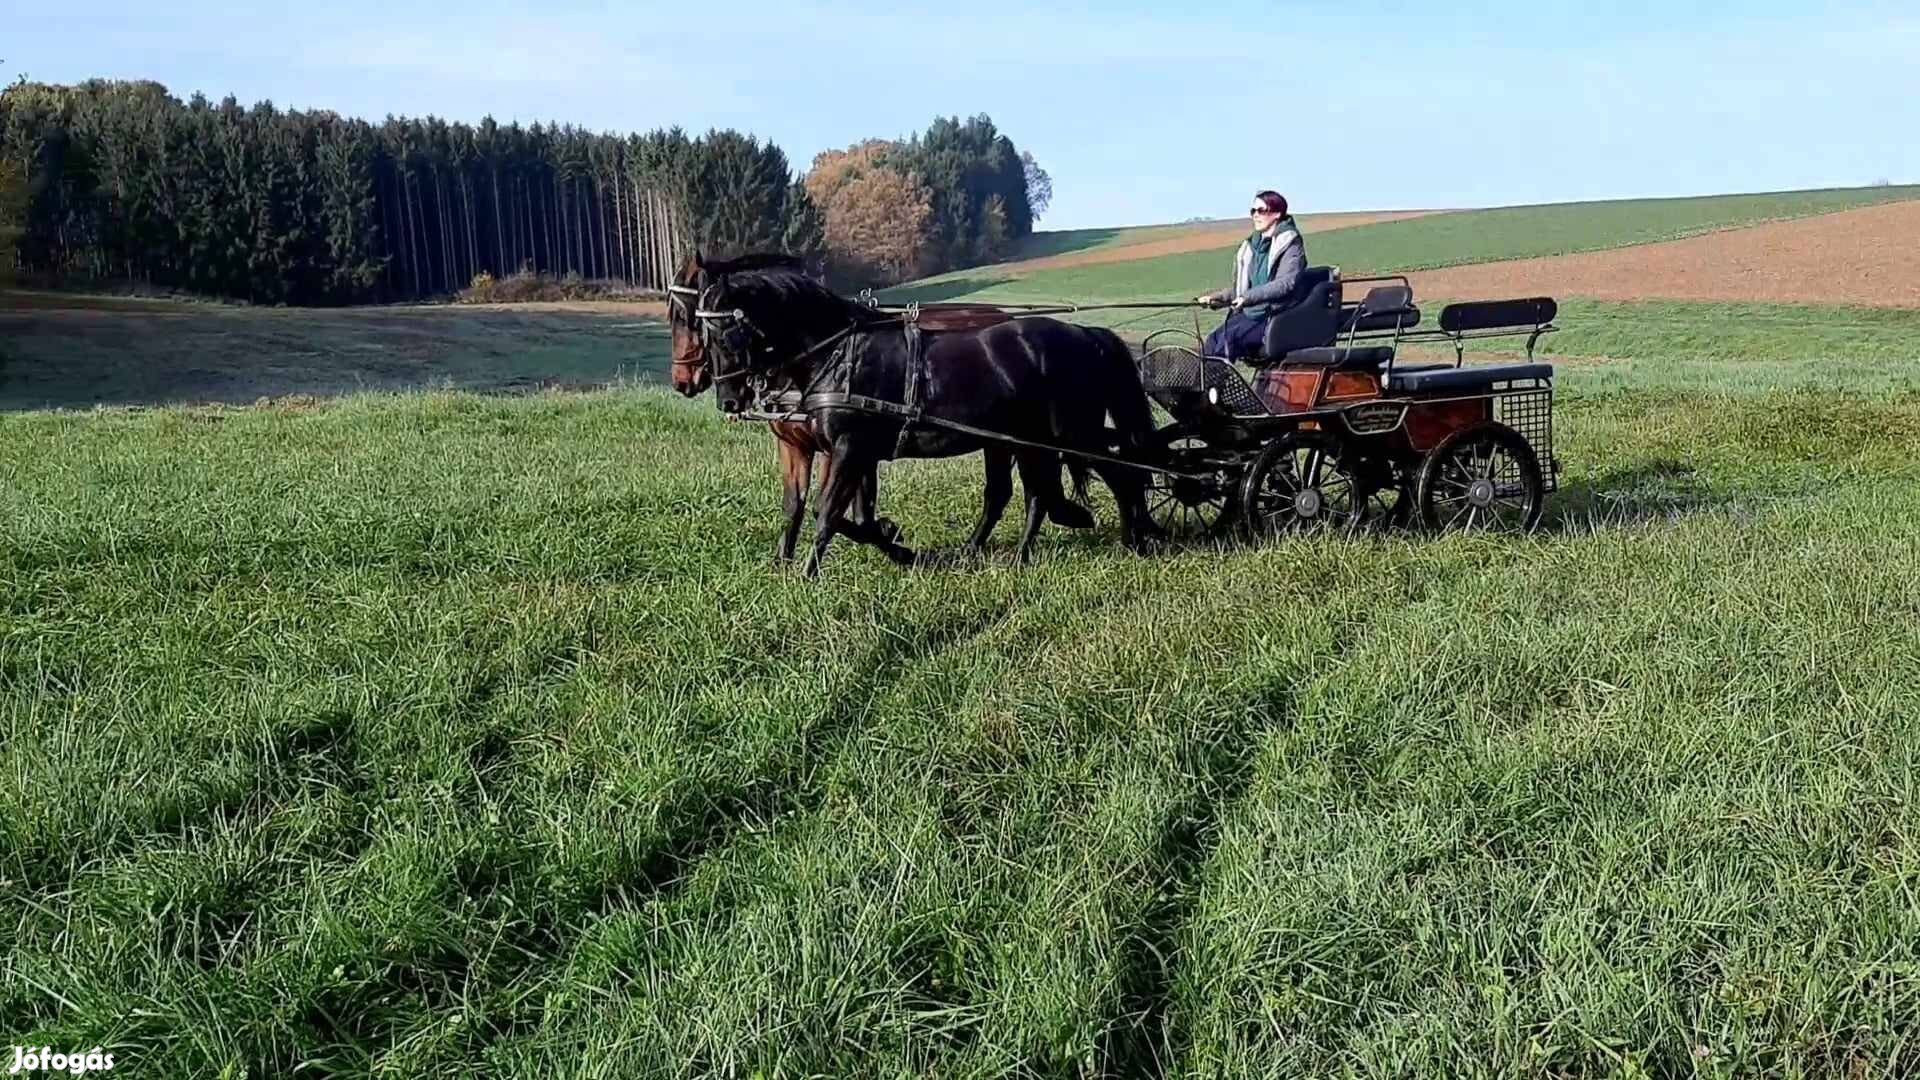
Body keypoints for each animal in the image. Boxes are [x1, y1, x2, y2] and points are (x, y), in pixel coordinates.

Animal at [698, 259, 1159, 572]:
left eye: (726, 334)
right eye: (704, 333)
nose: (728, 401)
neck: (841, 352)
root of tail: (1087, 336)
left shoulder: (850, 448)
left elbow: (825, 512)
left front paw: (809, 574)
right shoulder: (859, 452)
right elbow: (854, 515)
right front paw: (895, 541)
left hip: (1071, 435)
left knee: (1119, 476)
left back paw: (1133, 539)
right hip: (1023, 440)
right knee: (1028, 494)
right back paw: (1003, 553)